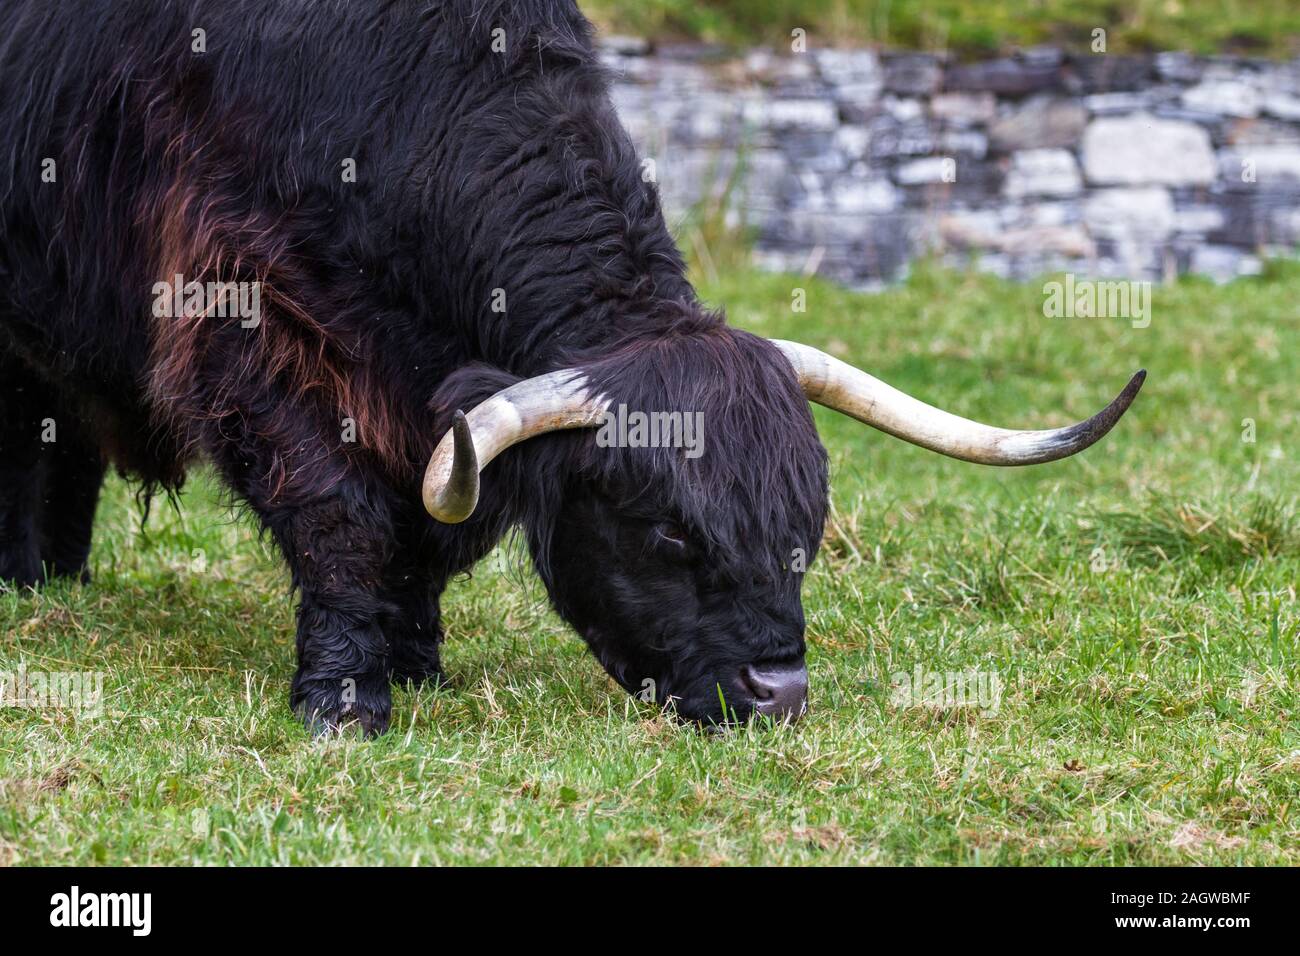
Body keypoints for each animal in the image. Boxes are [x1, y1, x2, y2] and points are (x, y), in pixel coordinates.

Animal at [0, 0, 1143, 734]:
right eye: (669, 532)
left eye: (806, 527)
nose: (778, 692)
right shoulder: (246, 309)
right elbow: (338, 510)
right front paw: (345, 699)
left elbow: (429, 532)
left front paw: (419, 666)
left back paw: (52, 582)